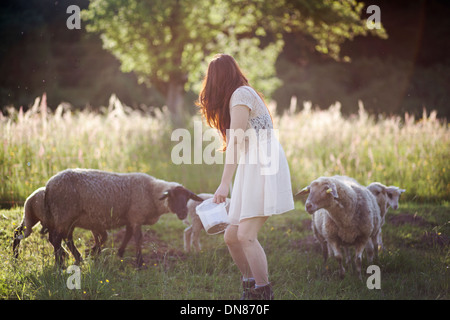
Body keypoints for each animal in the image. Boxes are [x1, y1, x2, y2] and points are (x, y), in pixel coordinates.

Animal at [43, 169, 203, 266]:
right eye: (173, 197)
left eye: (187, 198)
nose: (183, 213)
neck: (151, 192)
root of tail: (49, 184)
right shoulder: (136, 216)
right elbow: (138, 238)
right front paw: (139, 262)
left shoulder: (130, 218)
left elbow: (128, 235)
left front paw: (120, 253)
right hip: (63, 214)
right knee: (57, 239)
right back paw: (60, 264)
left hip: (65, 218)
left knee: (65, 239)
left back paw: (78, 258)